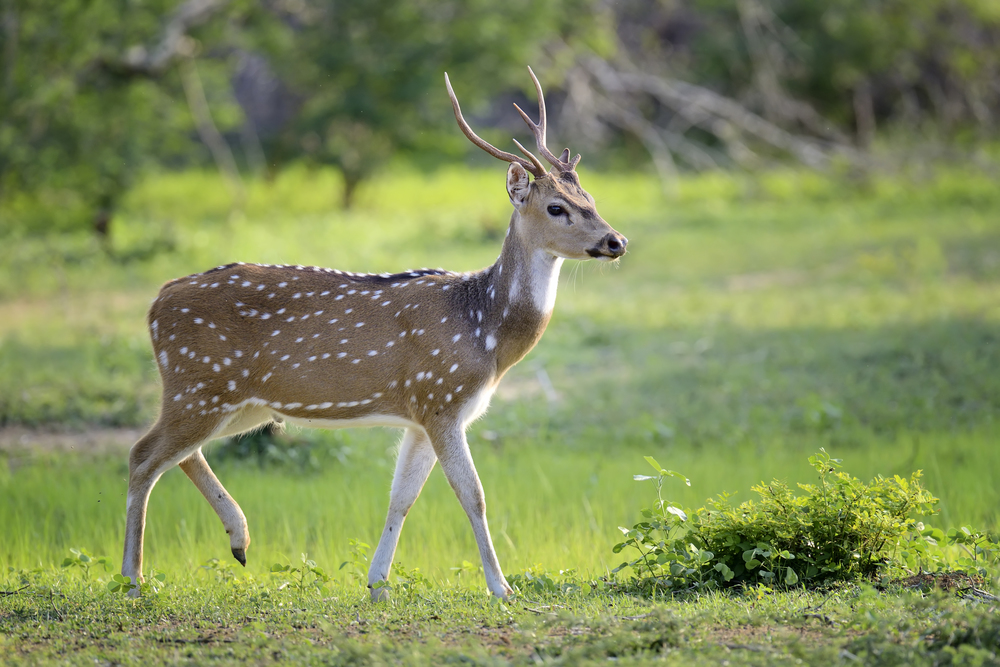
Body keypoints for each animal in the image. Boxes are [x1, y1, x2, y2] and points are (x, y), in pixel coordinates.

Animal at [123, 68, 624, 600]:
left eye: (591, 200)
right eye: (556, 207)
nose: (616, 240)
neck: (485, 331)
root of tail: (155, 304)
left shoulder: (423, 413)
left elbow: (401, 497)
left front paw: (378, 585)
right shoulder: (442, 397)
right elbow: (473, 494)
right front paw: (501, 588)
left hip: (239, 401)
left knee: (177, 454)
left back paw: (239, 541)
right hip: (198, 385)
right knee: (142, 455)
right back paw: (133, 578)